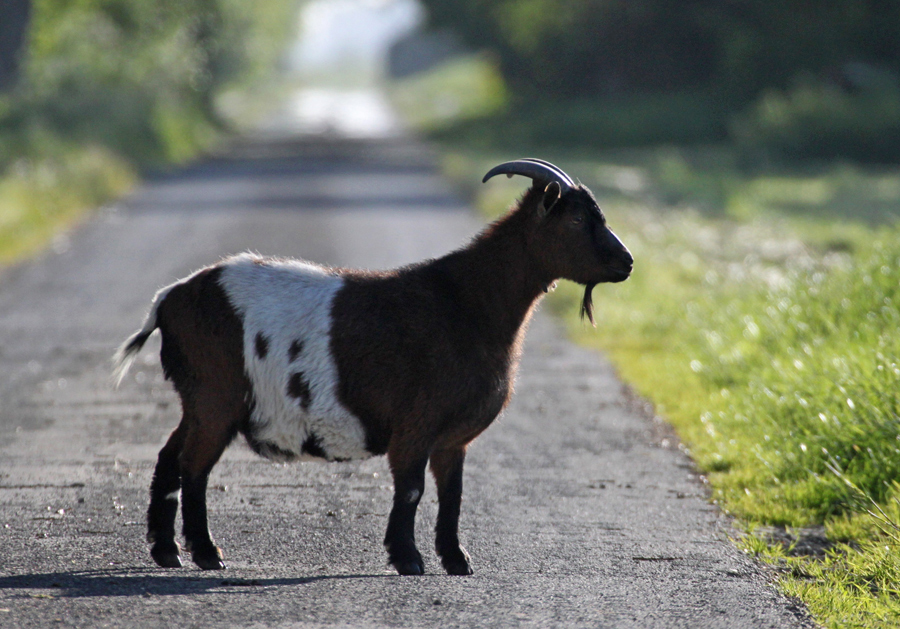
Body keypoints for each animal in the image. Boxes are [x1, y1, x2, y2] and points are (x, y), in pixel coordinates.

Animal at [112, 158, 632, 576]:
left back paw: (166, 552)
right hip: (215, 398)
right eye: (578, 218)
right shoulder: (416, 423)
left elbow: (453, 496)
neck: (467, 303)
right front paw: (408, 560)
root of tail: (169, 299)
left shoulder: (453, 439)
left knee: (170, 455)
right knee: (193, 466)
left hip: (197, 400)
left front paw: (457, 561)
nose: (626, 262)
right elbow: (411, 489)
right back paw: (206, 554)